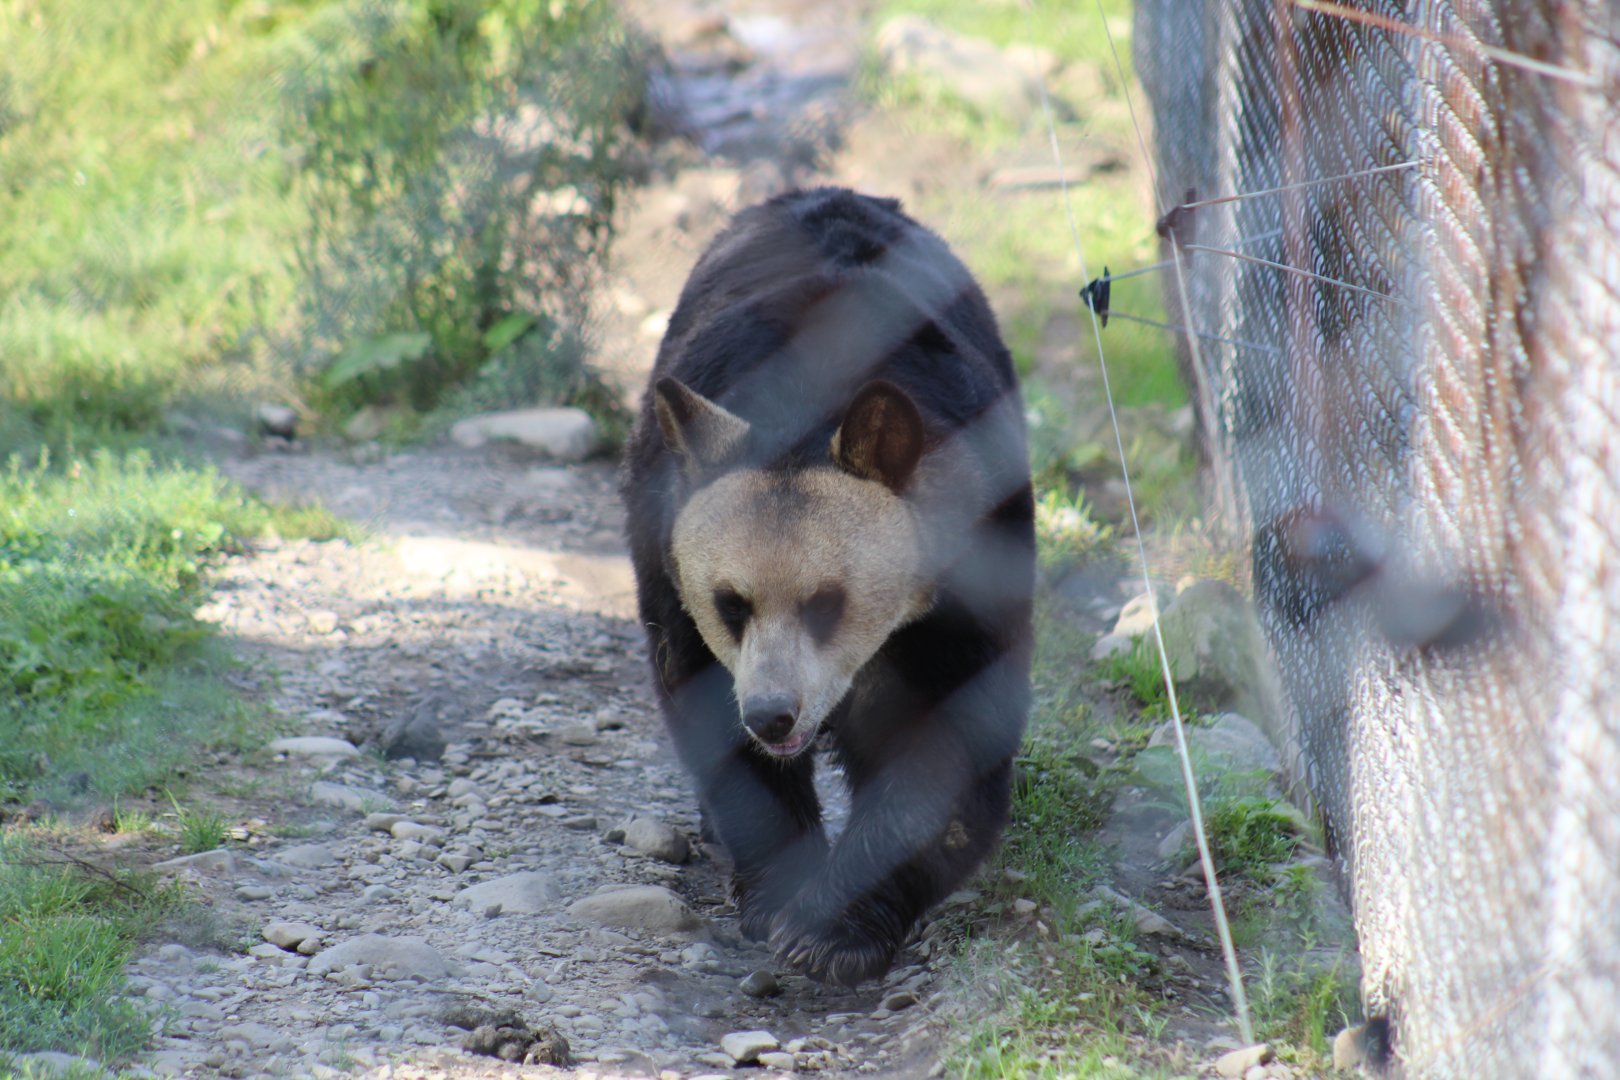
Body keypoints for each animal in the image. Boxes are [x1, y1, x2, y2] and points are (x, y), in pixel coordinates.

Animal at [621, 187, 1034, 987]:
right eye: (730, 603)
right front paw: (780, 892)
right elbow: (704, 704)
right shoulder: (663, 550)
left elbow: (944, 740)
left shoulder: (976, 550)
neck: (809, 410)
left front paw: (832, 930)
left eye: (827, 603)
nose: (774, 716)